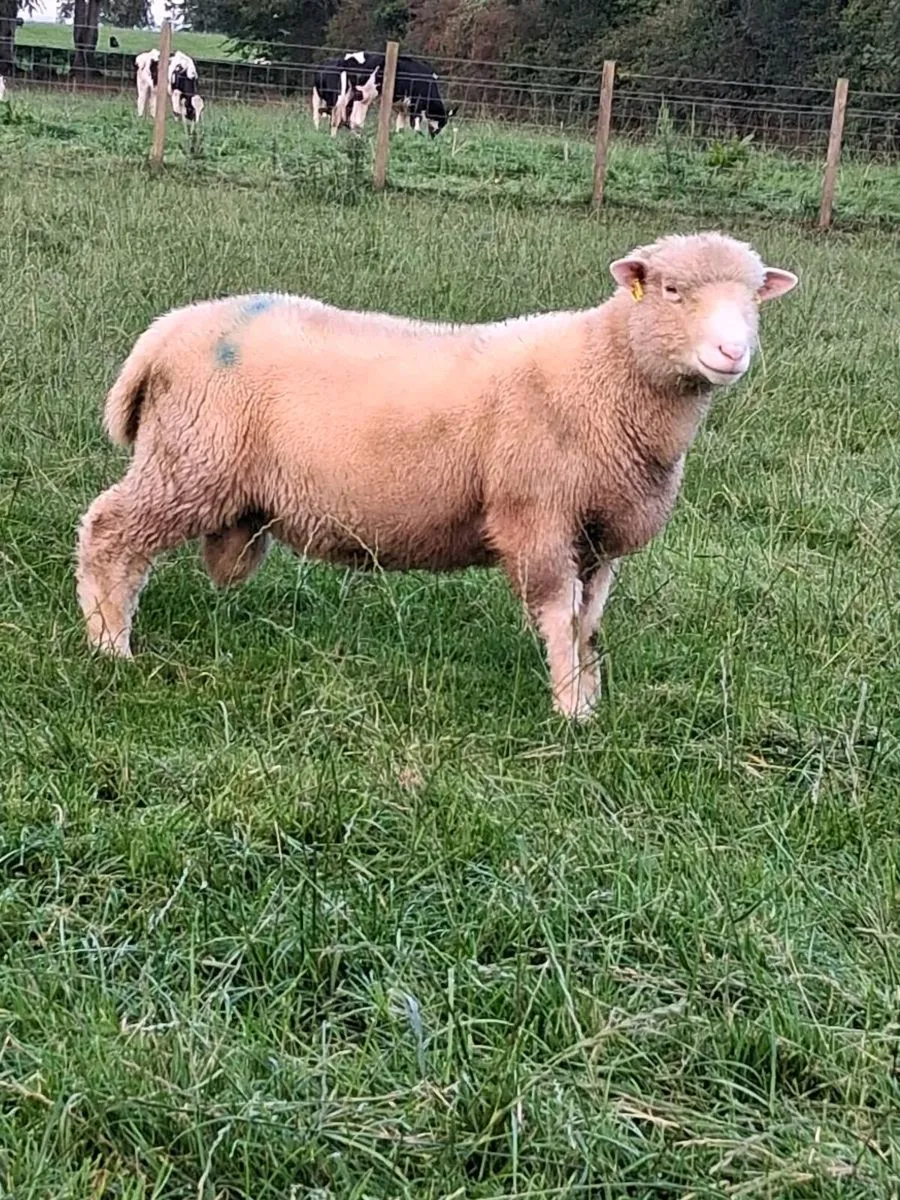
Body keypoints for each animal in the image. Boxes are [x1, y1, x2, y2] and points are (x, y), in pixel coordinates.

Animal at [75, 232, 798, 718]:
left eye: (753, 300)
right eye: (673, 290)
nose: (732, 351)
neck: (605, 372)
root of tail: (161, 335)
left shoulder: (598, 533)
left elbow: (588, 622)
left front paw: (590, 698)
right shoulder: (537, 514)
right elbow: (558, 615)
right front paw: (569, 710)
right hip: (189, 459)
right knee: (109, 531)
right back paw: (110, 644)